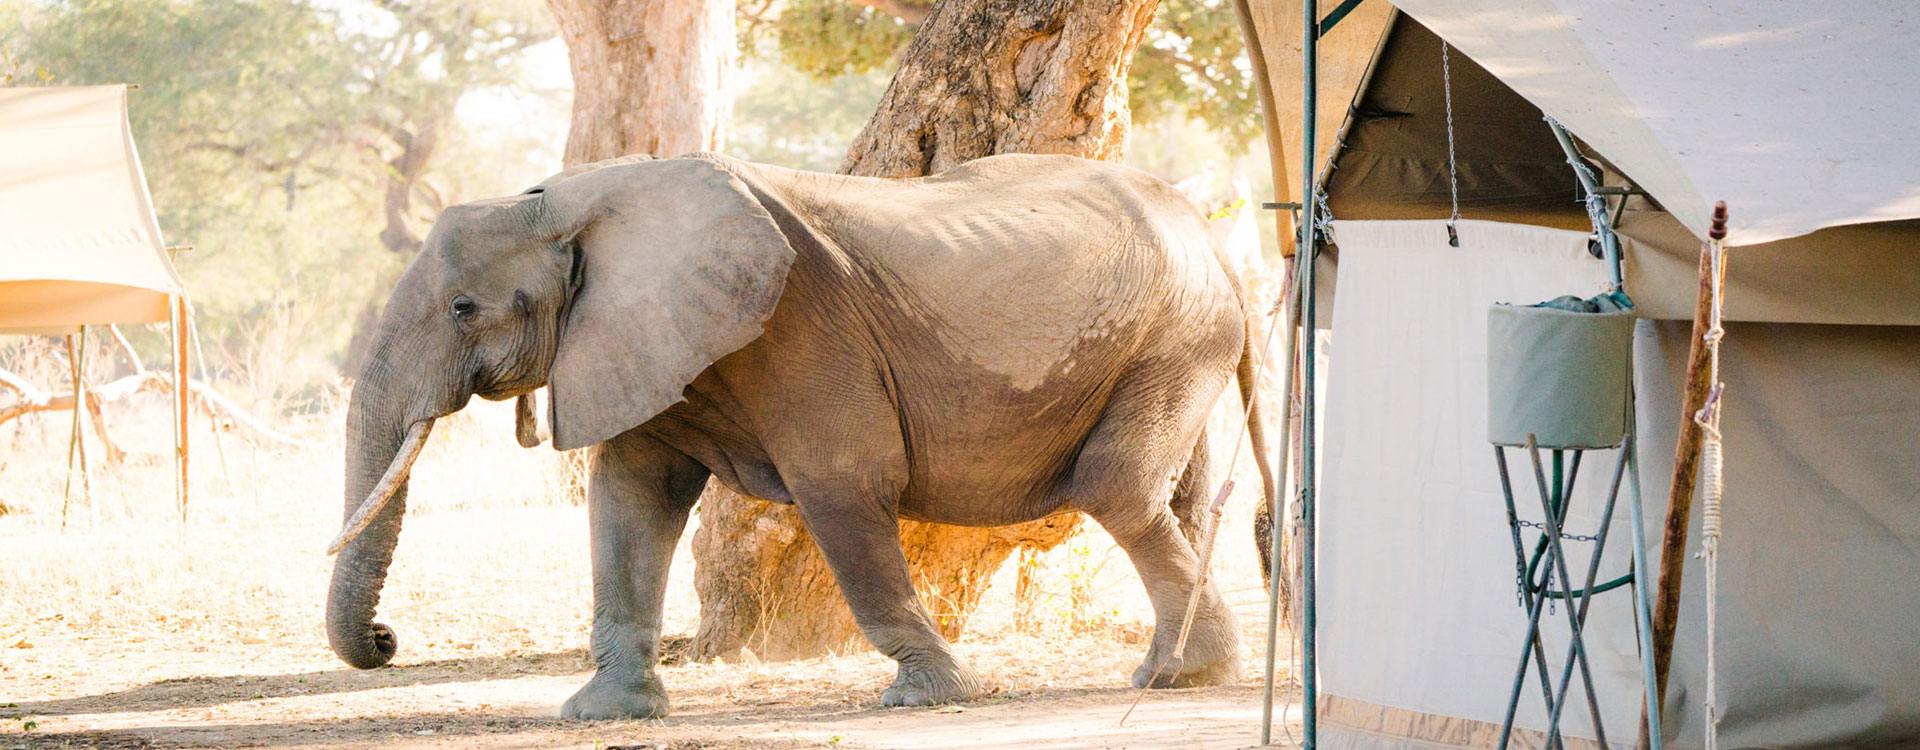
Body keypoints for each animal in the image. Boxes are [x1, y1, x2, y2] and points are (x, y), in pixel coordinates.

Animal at [323, 151, 1277, 719]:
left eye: (462, 308)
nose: (387, 640)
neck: (564, 202)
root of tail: (1215, 235)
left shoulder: (800, 332)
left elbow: (842, 486)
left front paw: (926, 696)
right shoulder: (643, 340)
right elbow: (629, 502)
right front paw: (603, 713)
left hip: (1174, 335)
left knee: (1116, 486)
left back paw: (1176, 678)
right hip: (1175, 341)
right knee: (1176, 497)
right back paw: (1178, 673)